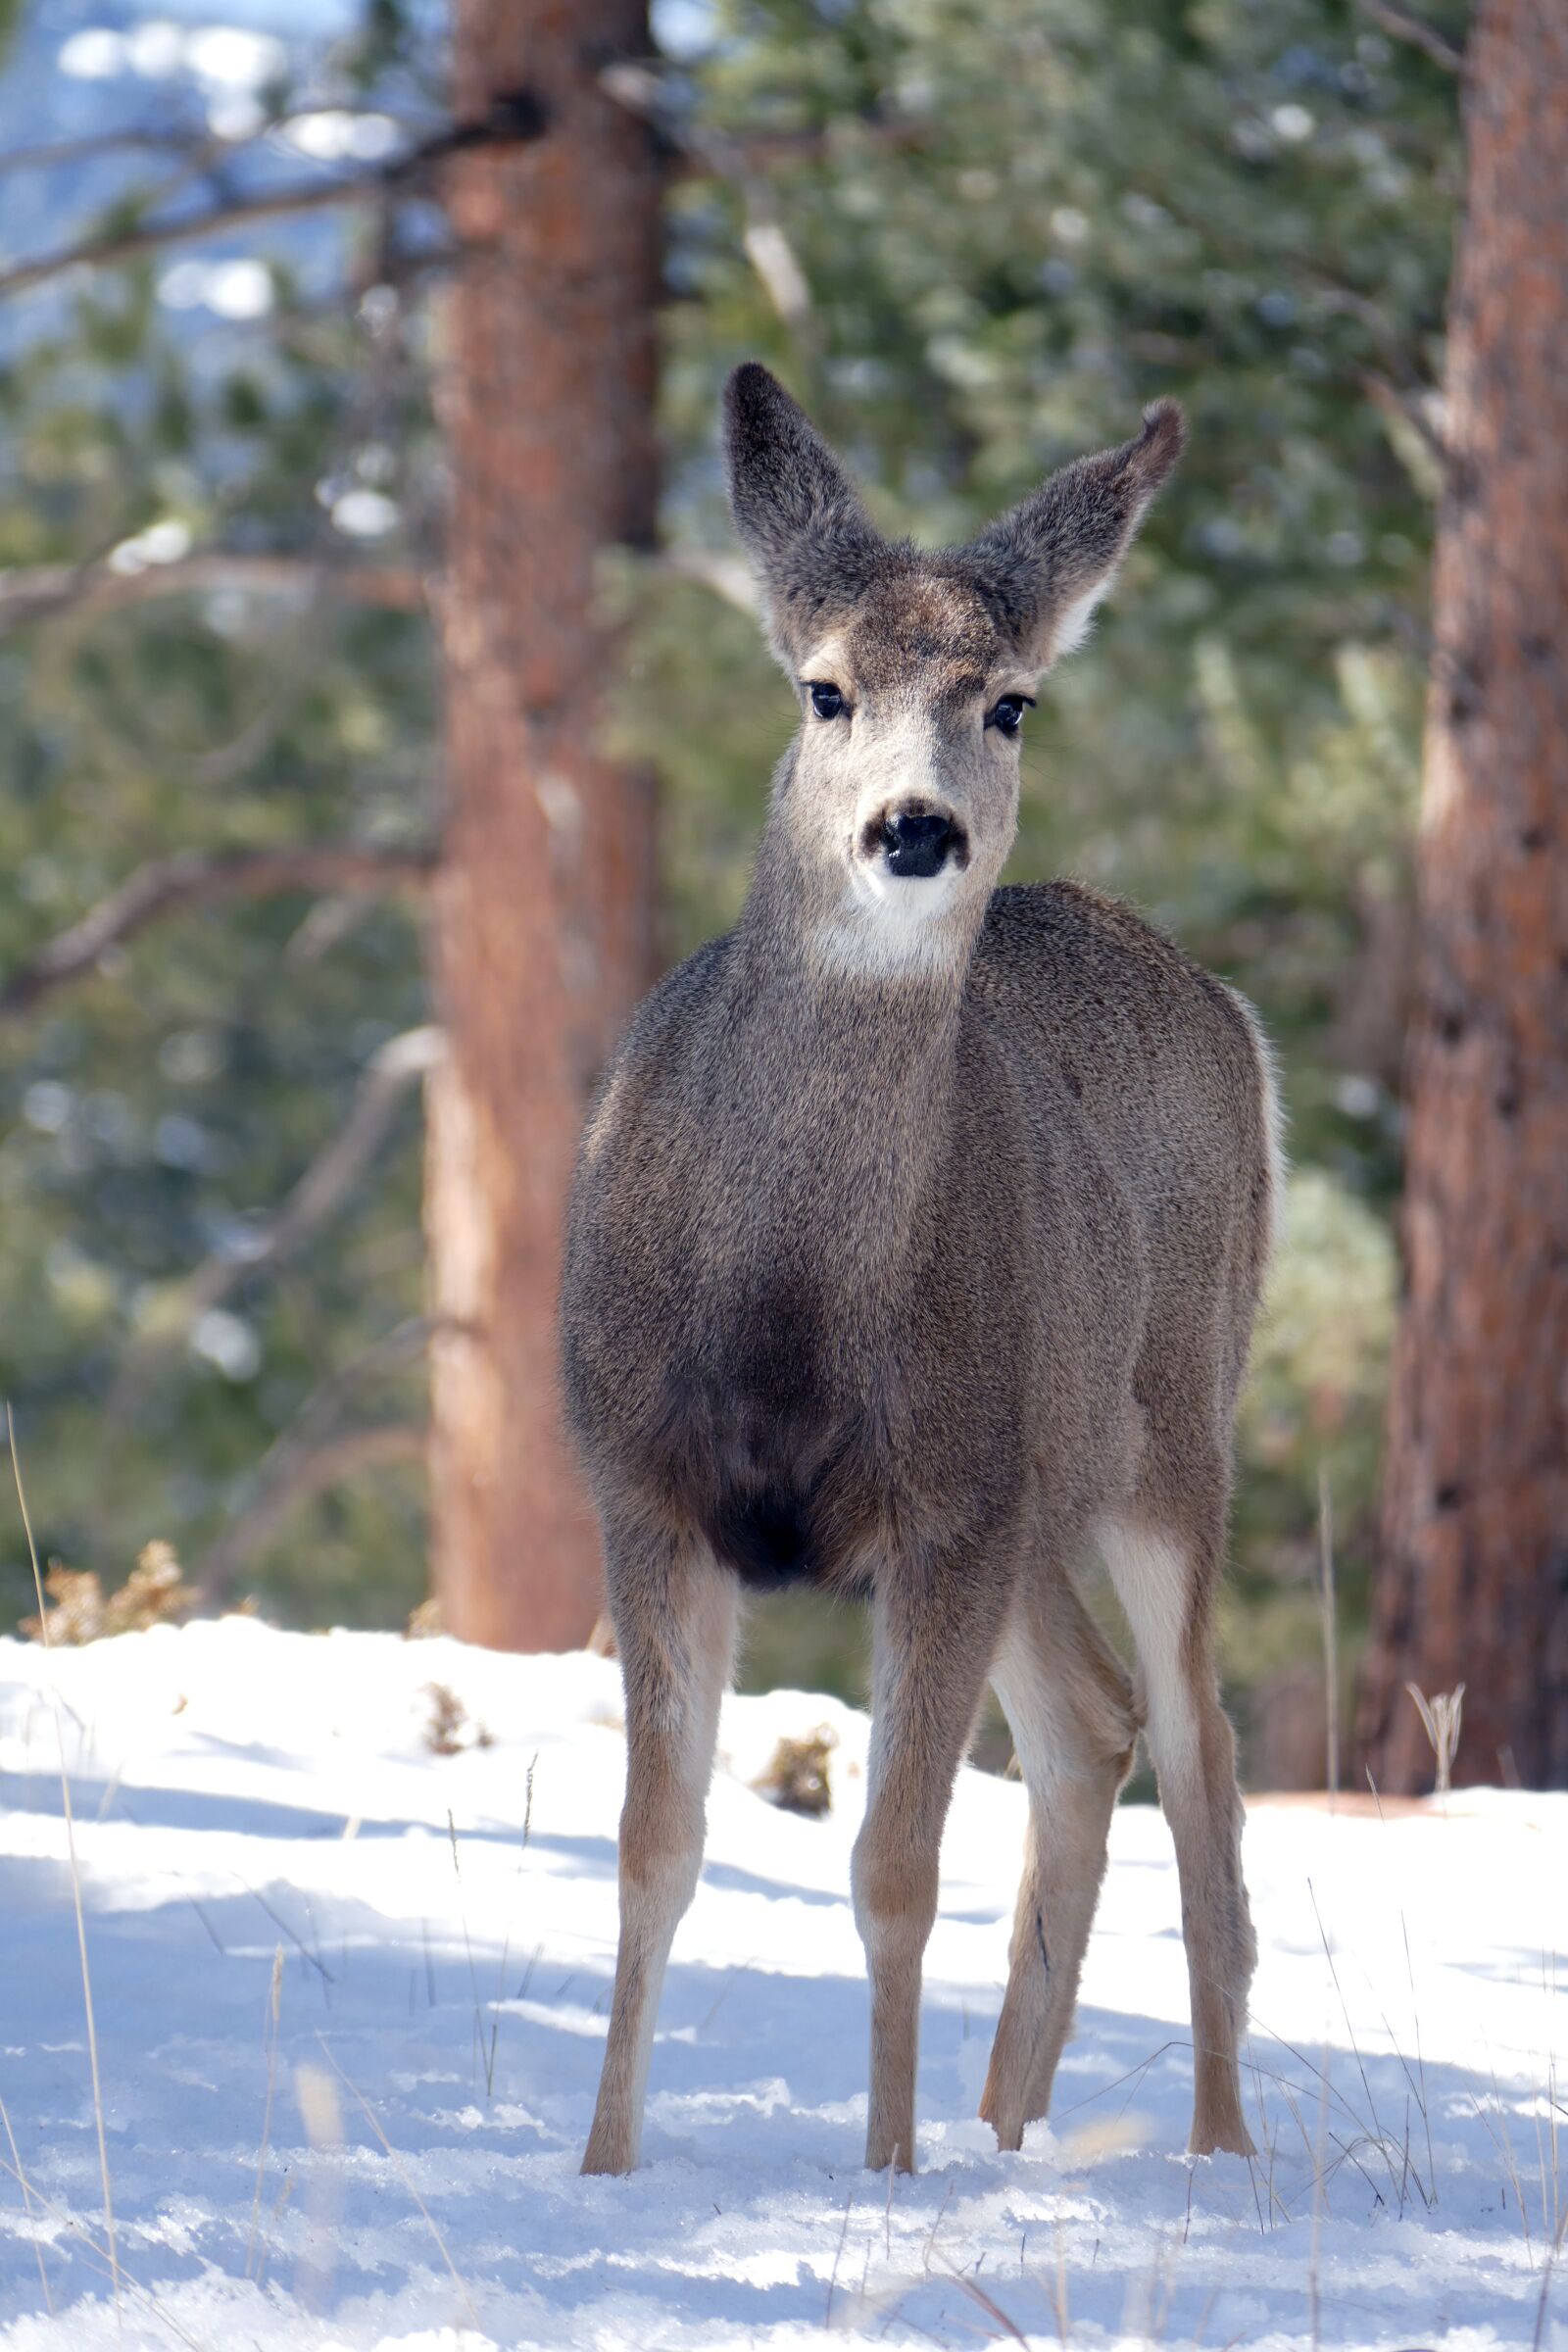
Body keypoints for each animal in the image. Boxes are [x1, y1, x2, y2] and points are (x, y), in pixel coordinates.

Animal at [562, 362, 1279, 2179]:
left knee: (1200, 1748)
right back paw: (1007, 2126)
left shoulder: (947, 1504)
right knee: (1093, 1733)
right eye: (824, 689)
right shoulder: (646, 1485)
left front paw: (879, 2179)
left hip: (1168, 1434)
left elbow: (892, 1868)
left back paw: (1215, 2149)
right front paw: (600, 2171)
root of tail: (1225, 1004)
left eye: (1011, 703)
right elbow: (652, 1848)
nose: (913, 827)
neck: (788, 1310)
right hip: (1037, 1489)